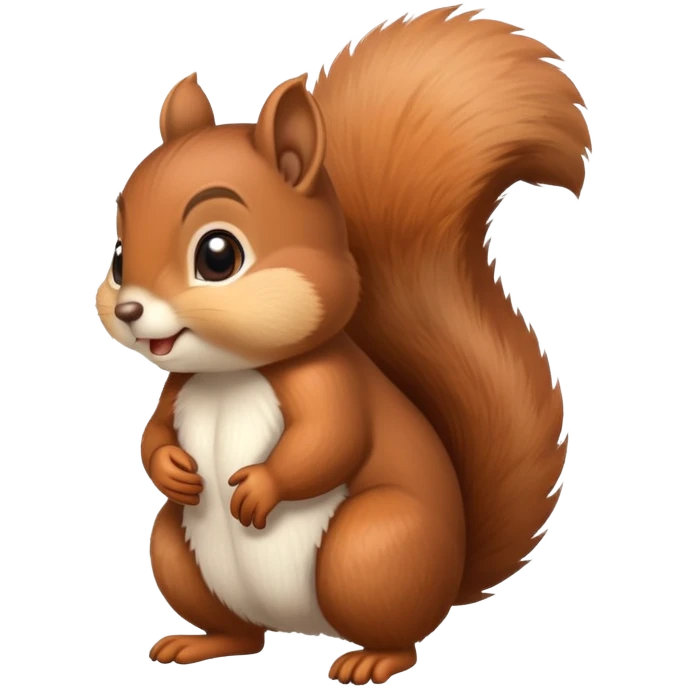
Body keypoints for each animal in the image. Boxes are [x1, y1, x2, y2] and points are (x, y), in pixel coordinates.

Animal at [96, 6, 589, 685]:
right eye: (119, 258)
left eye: (218, 255)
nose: (128, 311)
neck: (232, 373)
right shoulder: (179, 388)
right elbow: (154, 434)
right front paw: (171, 468)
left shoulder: (328, 380)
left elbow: (332, 440)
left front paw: (259, 488)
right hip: (175, 548)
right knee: (241, 631)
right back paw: (199, 643)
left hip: (375, 547)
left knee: (399, 630)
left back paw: (372, 659)